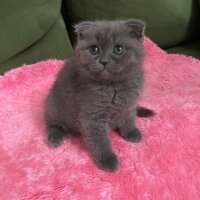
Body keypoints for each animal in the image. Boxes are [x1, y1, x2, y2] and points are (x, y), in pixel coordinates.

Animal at [45, 19, 153, 172]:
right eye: (94, 49)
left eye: (118, 49)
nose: (104, 61)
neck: (113, 86)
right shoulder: (92, 117)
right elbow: (100, 140)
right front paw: (107, 159)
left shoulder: (129, 104)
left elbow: (129, 118)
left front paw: (131, 132)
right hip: (54, 106)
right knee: (53, 124)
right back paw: (55, 137)